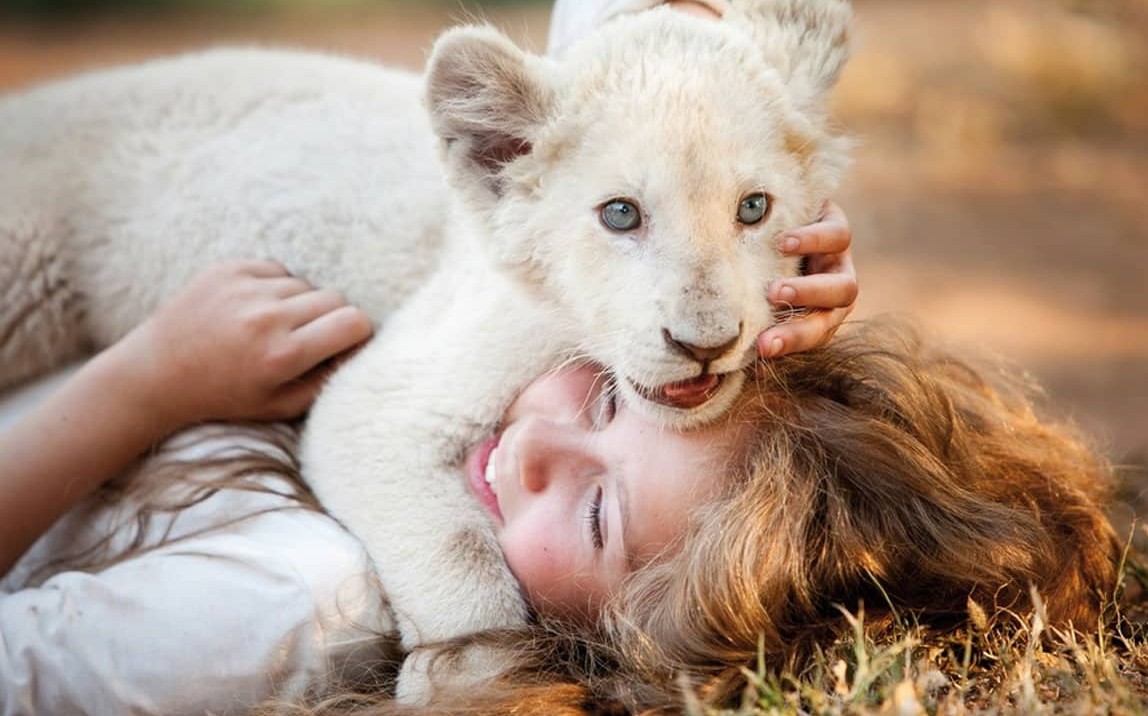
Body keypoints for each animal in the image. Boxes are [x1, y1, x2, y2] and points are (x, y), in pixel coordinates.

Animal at [0, 0, 852, 702]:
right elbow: (458, 550)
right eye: (620, 213)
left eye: (753, 207)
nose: (705, 344)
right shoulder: (383, 393)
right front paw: (471, 673)